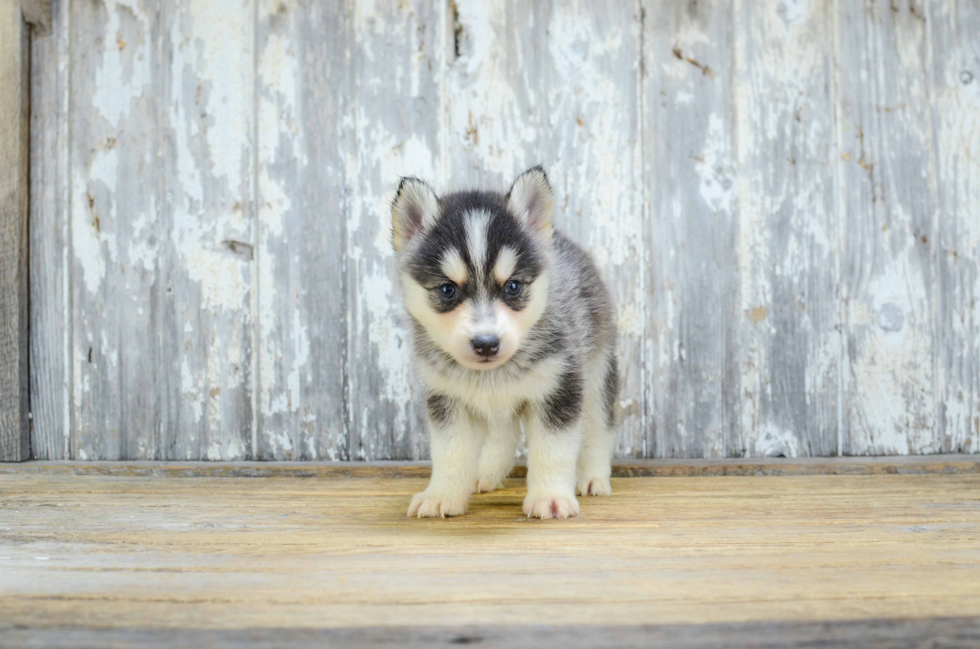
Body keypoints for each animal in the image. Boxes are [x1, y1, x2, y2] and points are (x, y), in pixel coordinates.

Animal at [392, 165, 616, 520]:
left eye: (513, 286)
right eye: (447, 290)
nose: (486, 343)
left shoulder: (560, 388)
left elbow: (553, 450)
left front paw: (550, 497)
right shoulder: (447, 398)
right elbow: (450, 452)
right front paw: (442, 495)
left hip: (597, 373)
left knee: (598, 428)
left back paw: (593, 477)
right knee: (503, 433)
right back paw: (486, 472)